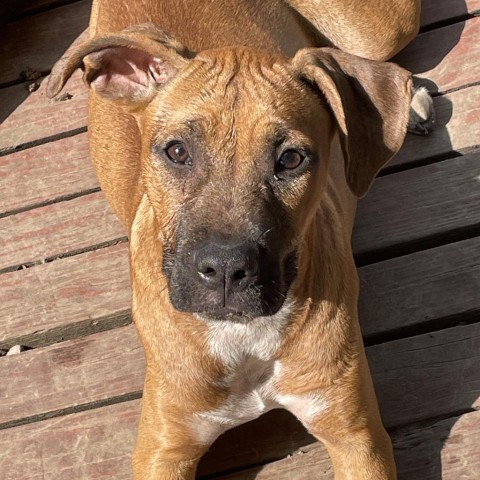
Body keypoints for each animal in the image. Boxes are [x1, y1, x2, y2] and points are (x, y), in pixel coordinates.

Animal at [48, 1, 430, 478]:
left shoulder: (357, 437)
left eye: (291, 159)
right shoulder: (162, 447)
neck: (243, 338)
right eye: (177, 151)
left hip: (378, 30)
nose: (226, 270)